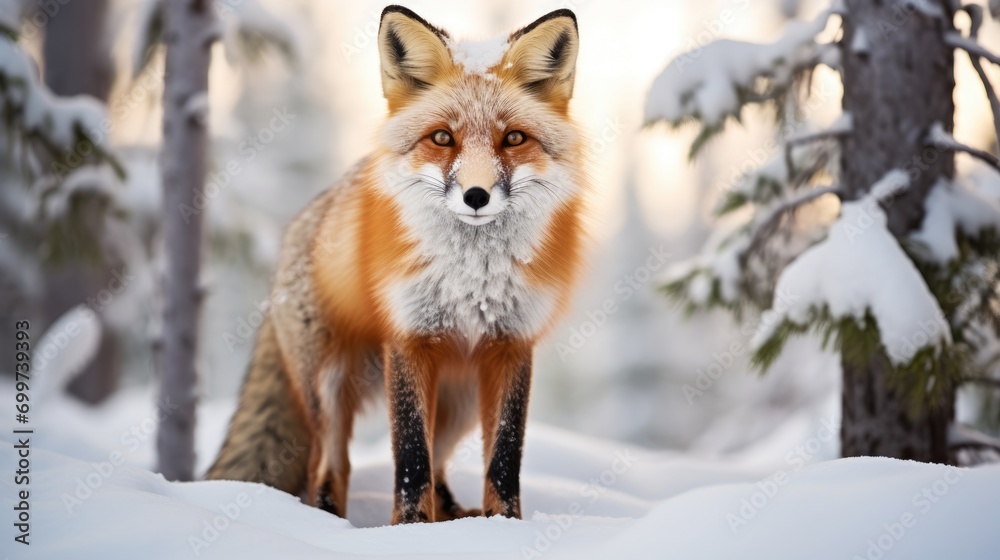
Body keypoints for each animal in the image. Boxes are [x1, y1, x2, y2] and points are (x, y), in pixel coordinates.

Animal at [206, 5, 588, 524]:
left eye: (513, 138)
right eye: (442, 137)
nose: (476, 196)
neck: (472, 277)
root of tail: (301, 223)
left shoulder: (511, 344)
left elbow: (504, 459)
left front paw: (504, 527)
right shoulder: (408, 339)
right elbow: (410, 456)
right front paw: (408, 529)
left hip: (460, 399)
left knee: (439, 463)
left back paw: (456, 516)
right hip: (331, 387)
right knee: (329, 465)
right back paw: (330, 523)